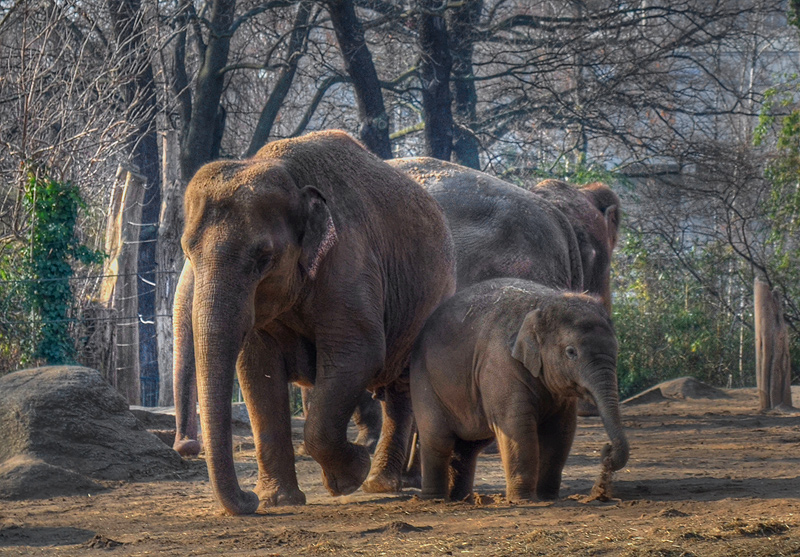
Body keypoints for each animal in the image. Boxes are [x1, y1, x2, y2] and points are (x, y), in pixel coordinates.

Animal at [169, 130, 456, 512]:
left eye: (263, 258)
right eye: (187, 251)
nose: (247, 499)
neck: (285, 172)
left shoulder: (349, 260)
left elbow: (359, 352)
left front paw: (348, 477)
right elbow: (257, 370)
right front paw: (278, 502)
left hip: (433, 296)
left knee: (404, 386)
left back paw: (384, 483)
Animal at [410, 278, 628, 500]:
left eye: (617, 349)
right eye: (571, 352)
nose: (607, 450)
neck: (544, 303)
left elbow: (561, 430)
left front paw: (547, 497)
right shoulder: (500, 364)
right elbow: (516, 425)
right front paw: (525, 499)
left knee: (468, 447)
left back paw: (463, 499)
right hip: (424, 381)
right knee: (438, 439)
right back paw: (435, 499)